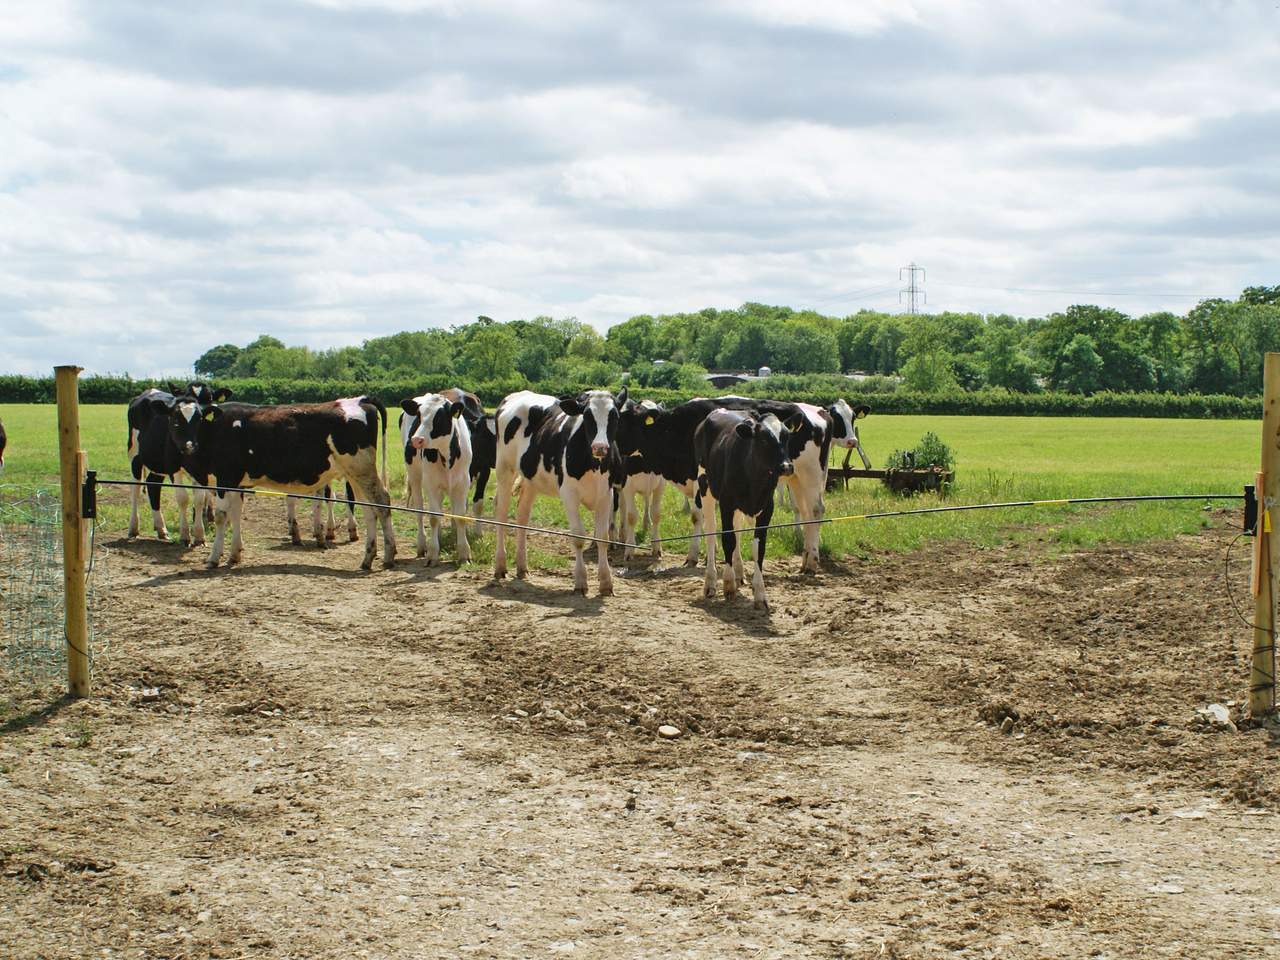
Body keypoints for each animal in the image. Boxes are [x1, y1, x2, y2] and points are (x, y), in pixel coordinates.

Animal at [126, 383, 230, 545]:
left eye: (199, 418)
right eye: (175, 419)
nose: (189, 445)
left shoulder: (200, 470)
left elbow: (199, 499)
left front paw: (199, 534)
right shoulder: (173, 466)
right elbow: (183, 498)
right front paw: (185, 535)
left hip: (157, 461)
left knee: (153, 484)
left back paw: (161, 529)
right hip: (135, 456)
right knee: (135, 490)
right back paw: (133, 528)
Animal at [157, 395, 395, 570]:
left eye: (197, 419)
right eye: (175, 420)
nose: (189, 445)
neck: (215, 431)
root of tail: (360, 399)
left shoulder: (225, 479)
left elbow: (222, 517)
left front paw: (214, 558)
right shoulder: (236, 483)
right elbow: (236, 515)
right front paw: (234, 555)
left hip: (361, 469)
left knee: (382, 502)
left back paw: (389, 555)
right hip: (355, 474)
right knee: (370, 509)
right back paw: (368, 557)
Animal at [399, 389, 478, 564]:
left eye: (440, 417)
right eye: (419, 416)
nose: (416, 440)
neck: (447, 455)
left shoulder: (463, 483)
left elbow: (459, 516)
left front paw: (464, 553)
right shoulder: (431, 483)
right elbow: (434, 517)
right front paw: (433, 553)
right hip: (415, 475)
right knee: (420, 509)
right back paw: (423, 544)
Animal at [492, 388, 627, 595]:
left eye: (615, 416)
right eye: (587, 415)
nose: (600, 448)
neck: (593, 464)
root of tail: (516, 395)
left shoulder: (607, 494)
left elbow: (602, 537)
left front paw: (606, 583)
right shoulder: (569, 494)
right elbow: (578, 536)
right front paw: (580, 582)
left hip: (531, 479)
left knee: (522, 515)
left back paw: (522, 567)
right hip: (504, 468)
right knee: (502, 513)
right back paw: (500, 566)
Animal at [694, 409, 796, 611]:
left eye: (787, 436)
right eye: (763, 439)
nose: (787, 466)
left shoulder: (767, 509)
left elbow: (758, 548)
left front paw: (760, 594)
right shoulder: (726, 504)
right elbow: (728, 540)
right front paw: (728, 584)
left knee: (738, 530)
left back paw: (739, 572)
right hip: (705, 486)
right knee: (711, 532)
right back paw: (711, 582)